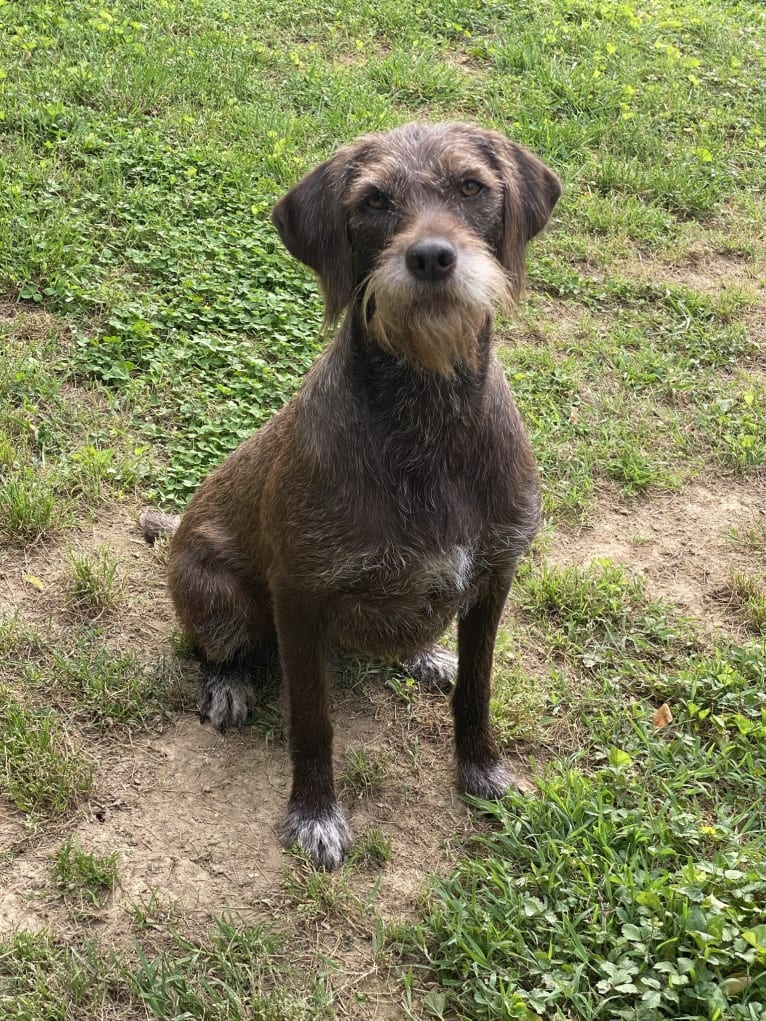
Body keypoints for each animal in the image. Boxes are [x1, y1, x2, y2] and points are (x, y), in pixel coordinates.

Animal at [140, 119, 559, 869]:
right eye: (373, 202)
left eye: (471, 187)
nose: (431, 257)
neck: (428, 421)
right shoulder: (299, 599)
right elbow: (313, 722)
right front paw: (314, 814)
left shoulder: (494, 577)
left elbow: (477, 690)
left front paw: (482, 769)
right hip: (217, 596)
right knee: (213, 647)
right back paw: (228, 683)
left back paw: (424, 653)